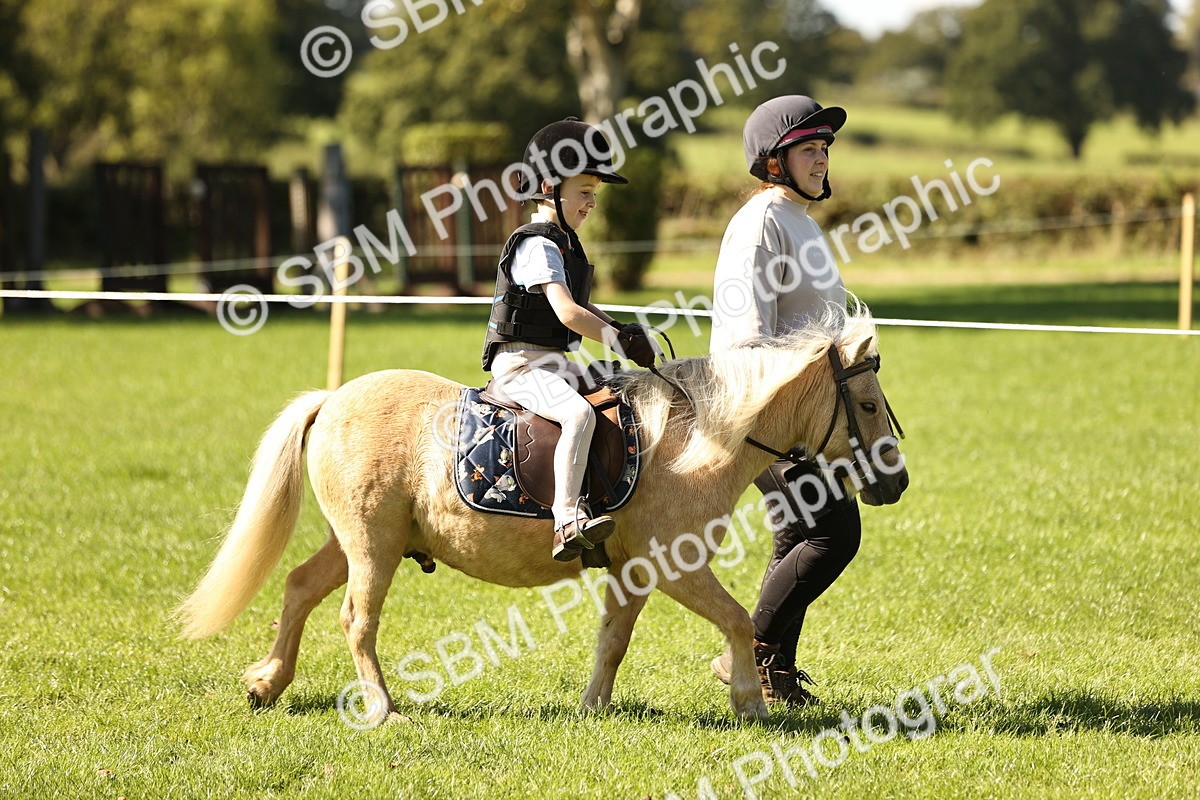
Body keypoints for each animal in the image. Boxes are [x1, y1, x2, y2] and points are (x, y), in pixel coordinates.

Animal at [177, 305, 909, 723]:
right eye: (868, 405)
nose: (896, 481)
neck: (693, 438)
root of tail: (332, 399)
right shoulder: (677, 568)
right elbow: (734, 619)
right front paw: (749, 699)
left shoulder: (634, 573)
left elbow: (613, 640)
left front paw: (593, 709)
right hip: (372, 548)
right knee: (356, 621)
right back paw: (382, 710)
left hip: (357, 542)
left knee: (300, 588)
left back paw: (267, 683)